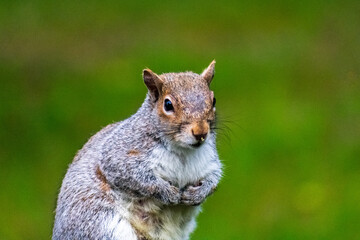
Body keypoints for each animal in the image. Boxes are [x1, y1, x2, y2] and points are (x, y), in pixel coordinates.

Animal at [52, 61, 222, 240]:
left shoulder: (210, 161)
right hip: (100, 223)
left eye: (213, 100)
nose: (200, 132)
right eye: (168, 105)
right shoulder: (121, 152)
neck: (184, 150)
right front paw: (167, 192)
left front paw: (199, 193)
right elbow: (136, 178)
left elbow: (214, 178)